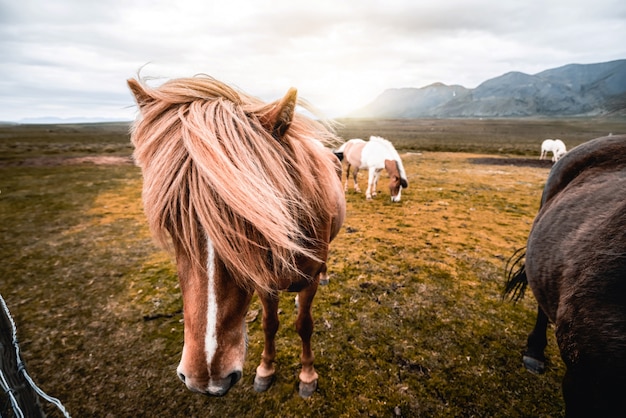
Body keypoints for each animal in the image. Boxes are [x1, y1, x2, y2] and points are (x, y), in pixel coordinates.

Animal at [125, 75, 344, 398]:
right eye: (170, 221)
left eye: (261, 223)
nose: (206, 379)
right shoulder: (266, 283)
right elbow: (269, 323)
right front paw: (266, 370)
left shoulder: (309, 280)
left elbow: (304, 325)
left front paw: (307, 376)